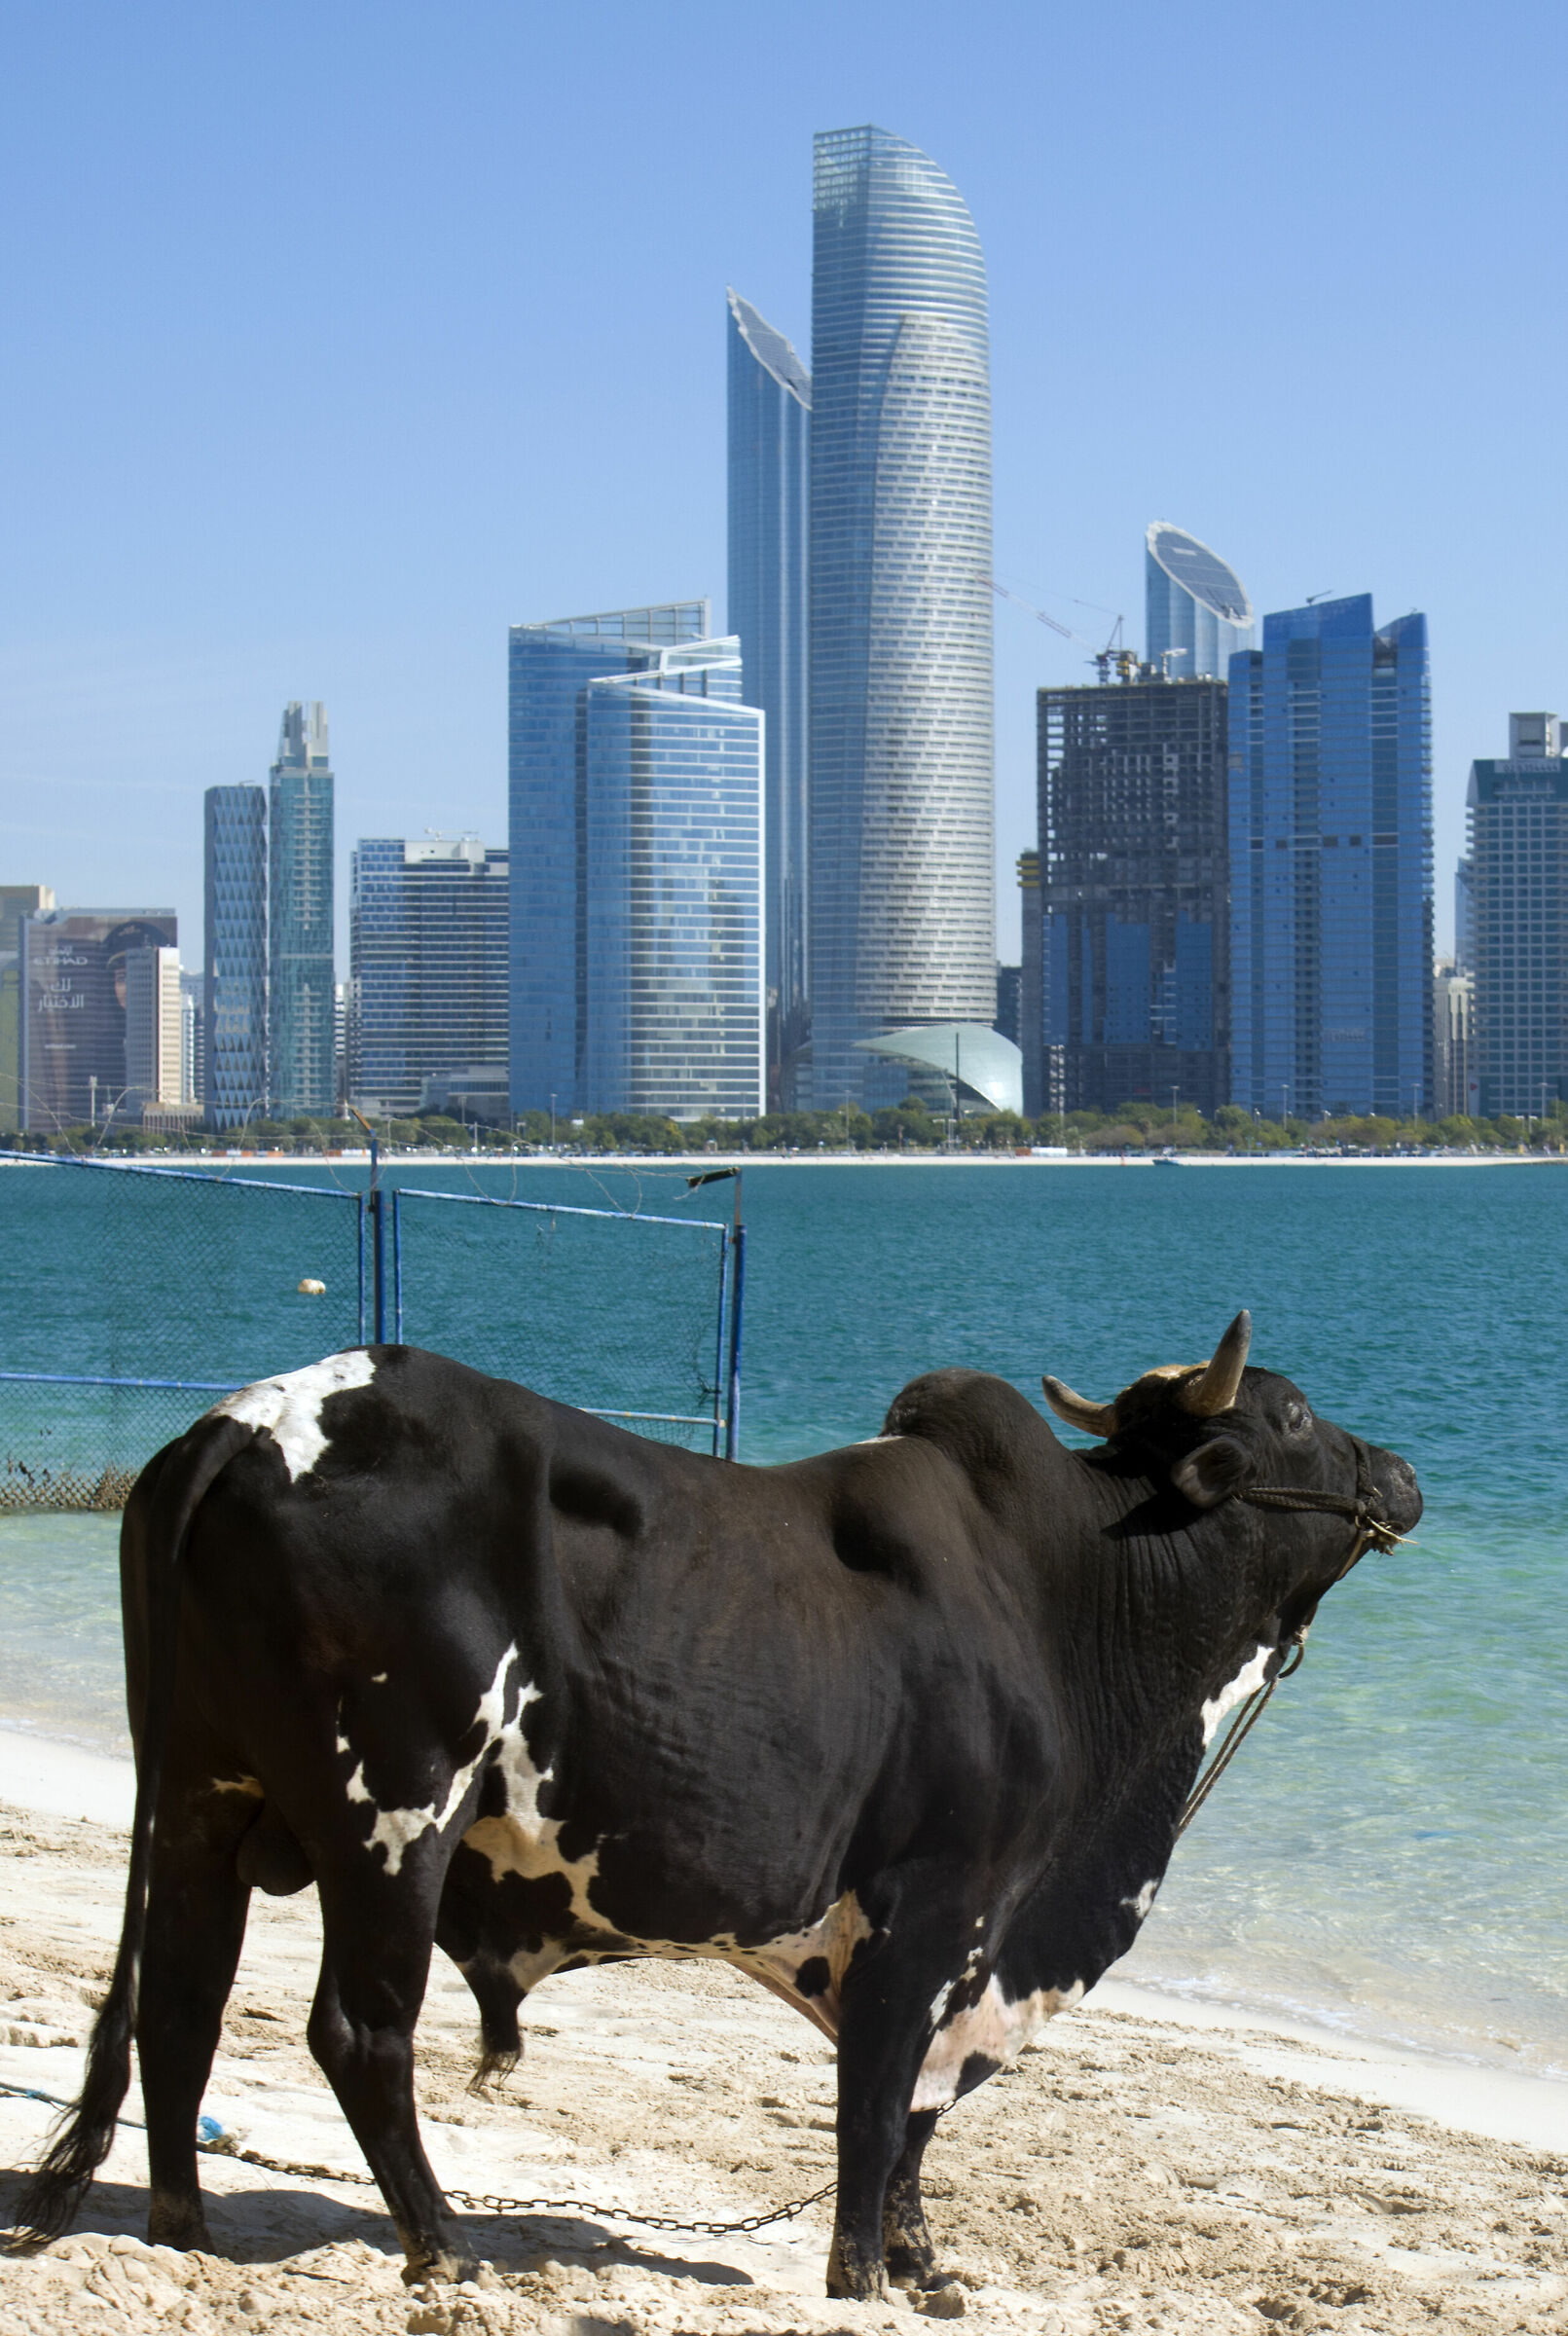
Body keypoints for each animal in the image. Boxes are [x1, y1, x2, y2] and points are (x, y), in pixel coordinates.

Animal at [12, 1312, 1421, 2301]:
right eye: (1295, 1417)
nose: (1403, 1474)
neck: (1069, 1592)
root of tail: (249, 1418)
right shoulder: (933, 1904)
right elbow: (881, 2099)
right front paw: (861, 2276)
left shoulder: (975, 1941)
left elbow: (916, 2111)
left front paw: (922, 2266)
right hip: (393, 1818)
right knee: (359, 2033)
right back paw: (442, 2245)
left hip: (197, 1798)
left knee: (177, 2009)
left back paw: (184, 2235)